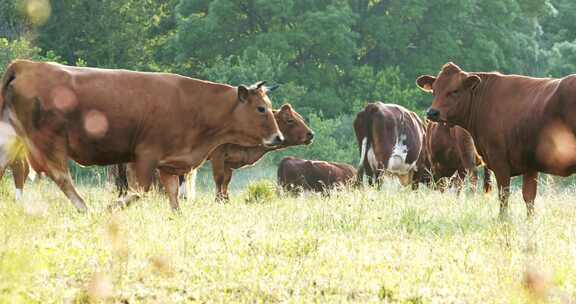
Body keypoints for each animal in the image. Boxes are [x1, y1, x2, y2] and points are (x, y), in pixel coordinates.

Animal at [1, 58, 284, 211]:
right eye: (261, 108)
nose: (279, 137)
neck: (192, 104)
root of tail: (25, 65)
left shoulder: (170, 164)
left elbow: (173, 196)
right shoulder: (146, 156)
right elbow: (141, 190)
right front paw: (112, 206)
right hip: (50, 141)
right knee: (60, 176)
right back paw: (85, 208)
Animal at [418, 61, 576, 217]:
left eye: (455, 90)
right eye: (434, 90)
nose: (432, 112)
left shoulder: (499, 160)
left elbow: (503, 195)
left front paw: (503, 219)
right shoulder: (529, 165)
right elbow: (529, 198)